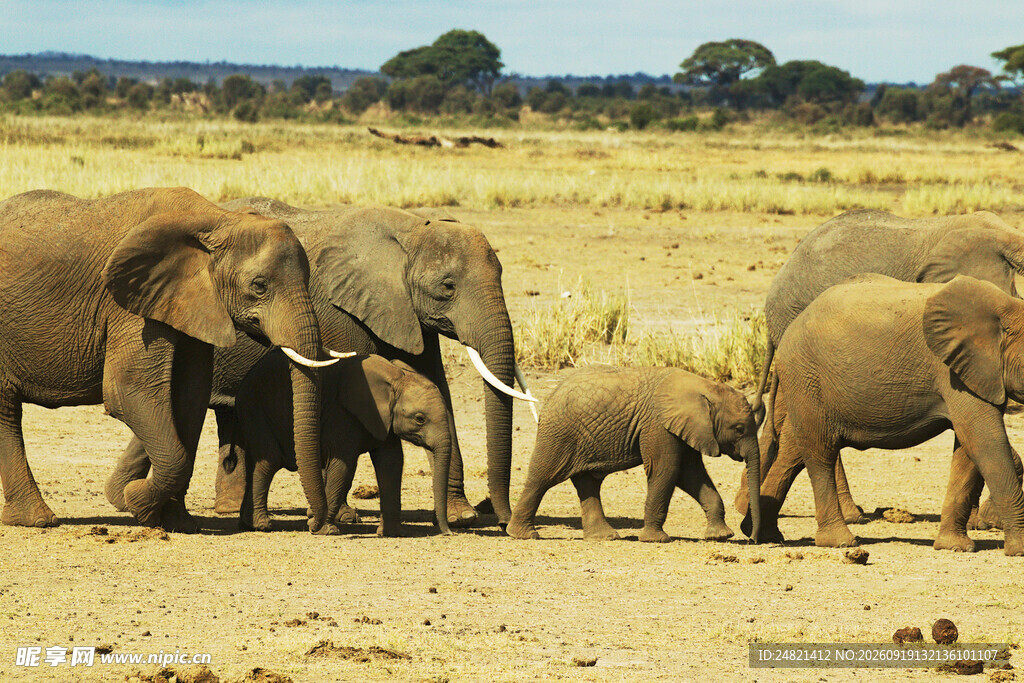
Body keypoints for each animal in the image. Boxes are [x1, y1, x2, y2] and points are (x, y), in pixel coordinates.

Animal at [0, 187, 340, 532]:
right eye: (259, 286)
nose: (318, 526)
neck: (216, 219)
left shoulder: (191, 302)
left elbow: (189, 398)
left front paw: (178, 522)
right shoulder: (130, 304)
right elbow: (128, 391)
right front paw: (138, 504)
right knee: (6, 411)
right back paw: (39, 521)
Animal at [233, 352, 452, 536]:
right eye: (420, 419)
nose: (448, 532)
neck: (395, 377)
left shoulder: (384, 420)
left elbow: (391, 463)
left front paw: (390, 533)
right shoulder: (342, 415)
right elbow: (343, 466)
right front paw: (325, 530)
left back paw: (248, 523)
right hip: (254, 408)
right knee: (268, 462)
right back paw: (261, 525)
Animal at [506, 366, 761, 544]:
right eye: (739, 429)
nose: (752, 539)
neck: (704, 387)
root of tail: (551, 395)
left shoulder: (687, 429)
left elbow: (691, 475)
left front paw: (720, 536)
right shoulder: (658, 425)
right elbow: (666, 470)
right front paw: (656, 540)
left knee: (587, 483)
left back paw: (604, 537)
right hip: (559, 433)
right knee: (542, 478)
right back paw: (524, 535)